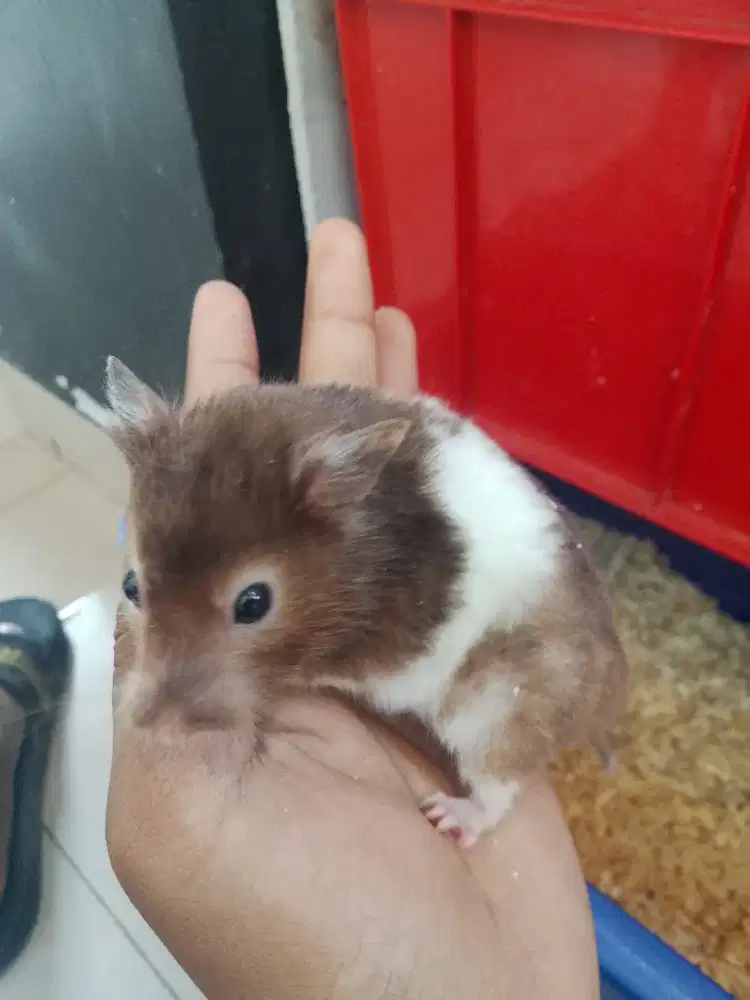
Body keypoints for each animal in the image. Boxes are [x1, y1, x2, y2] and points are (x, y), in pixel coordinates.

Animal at [105, 356, 628, 849]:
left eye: (253, 603)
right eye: (131, 586)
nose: (144, 725)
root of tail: (607, 691)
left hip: (499, 714)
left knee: (499, 790)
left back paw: (449, 817)